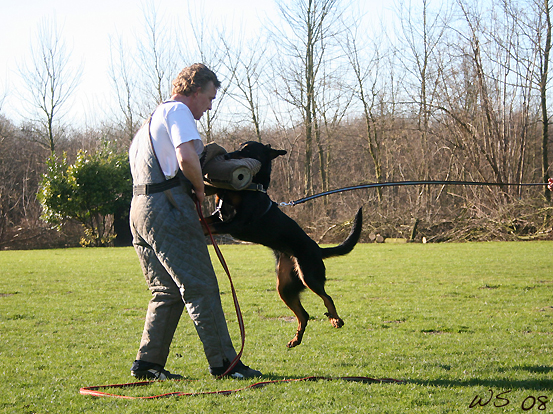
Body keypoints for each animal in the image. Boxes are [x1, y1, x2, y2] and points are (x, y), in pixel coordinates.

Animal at [203, 141, 362, 348]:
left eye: (247, 149)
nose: (228, 155)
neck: (252, 187)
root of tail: (318, 249)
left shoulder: (234, 223)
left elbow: (206, 224)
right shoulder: (219, 215)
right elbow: (205, 220)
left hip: (309, 276)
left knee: (327, 298)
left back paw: (335, 319)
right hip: (284, 287)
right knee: (304, 315)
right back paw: (296, 339)